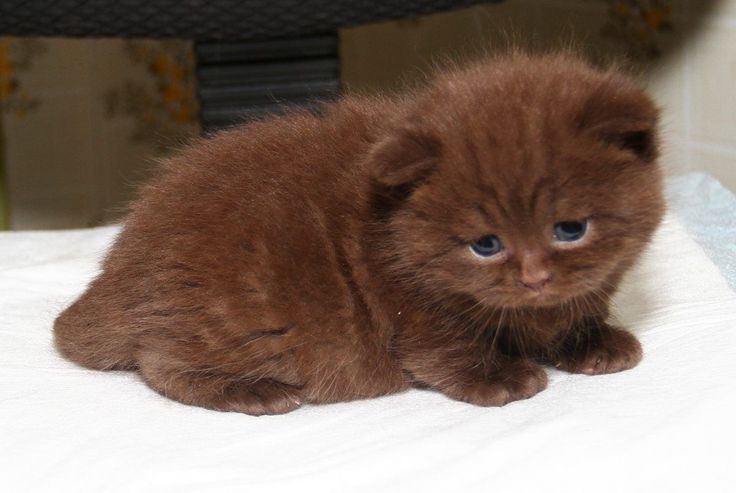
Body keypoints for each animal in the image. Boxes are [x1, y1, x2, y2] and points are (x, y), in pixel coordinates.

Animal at [56, 52, 668, 416]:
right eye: (485, 244)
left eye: (571, 229)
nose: (536, 277)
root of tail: (120, 267)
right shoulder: (411, 309)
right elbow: (444, 348)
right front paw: (498, 377)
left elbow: (572, 313)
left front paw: (593, 340)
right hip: (226, 317)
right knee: (159, 363)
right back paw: (255, 391)